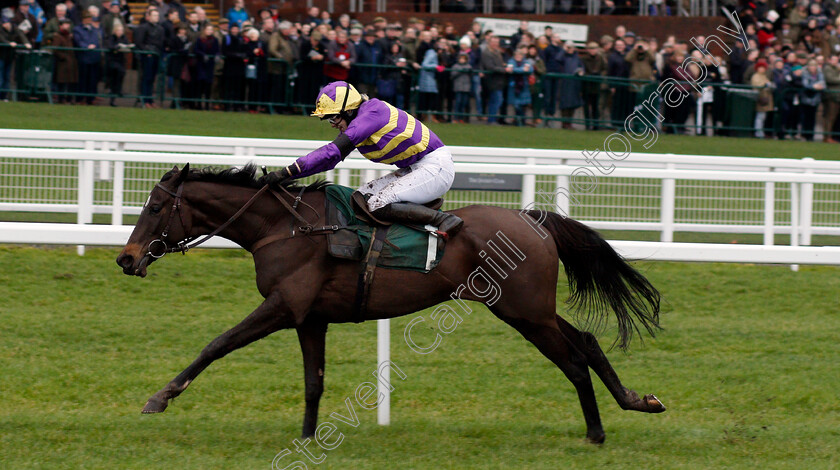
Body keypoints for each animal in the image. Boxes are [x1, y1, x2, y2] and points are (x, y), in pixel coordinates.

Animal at [118, 163, 668, 442]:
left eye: (154, 205)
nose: (126, 258)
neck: (285, 227)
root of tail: (534, 220)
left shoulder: (283, 306)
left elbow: (217, 344)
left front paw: (159, 397)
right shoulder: (310, 317)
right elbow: (314, 382)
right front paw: (307, 437)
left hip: (522, 311)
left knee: (572, 360)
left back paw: (596, 432)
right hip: (530, 308)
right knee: (588, 341)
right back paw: (638, 400)